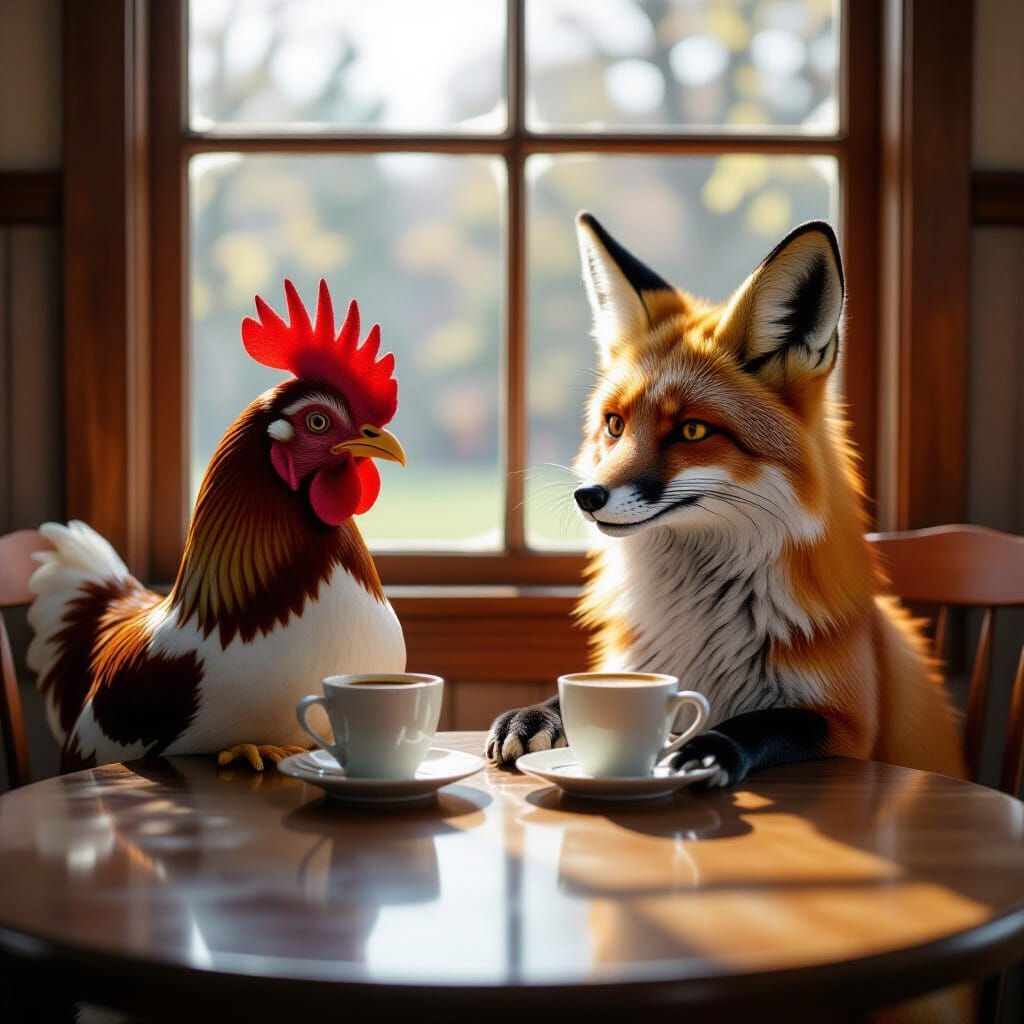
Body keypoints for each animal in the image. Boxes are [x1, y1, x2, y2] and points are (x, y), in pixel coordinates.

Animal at [486, 212, 965, 792]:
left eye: (692, 430)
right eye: (615, 425)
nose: (588, 496)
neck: (699, 623)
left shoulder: (845, 723)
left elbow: (756, 724)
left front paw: (705, 748)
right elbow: (579, 690)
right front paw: (534, 715)